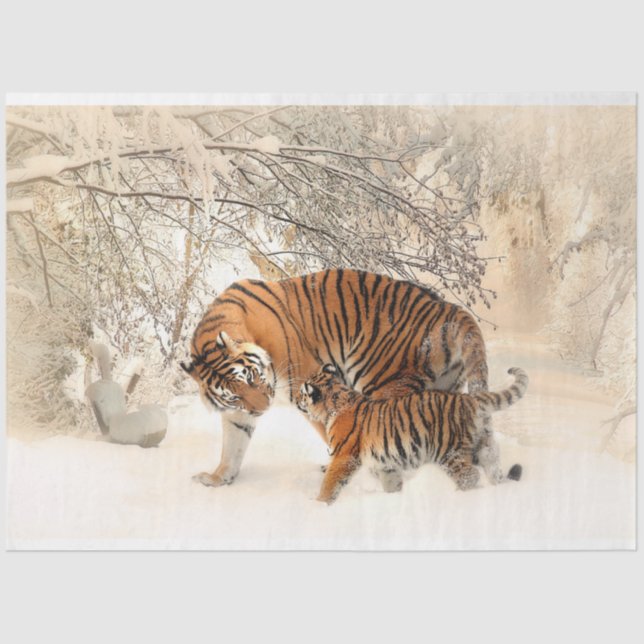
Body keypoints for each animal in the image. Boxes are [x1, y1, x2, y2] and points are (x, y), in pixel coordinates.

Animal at [181, 269, 489, 488]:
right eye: (234, 395)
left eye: (252, 377)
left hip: (384, 383)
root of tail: (449, 308)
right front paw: (218, 478)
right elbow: (232, 444)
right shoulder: (238, 412)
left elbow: (333, 433)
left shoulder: (309, 385)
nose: (263, 409)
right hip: (443, 390)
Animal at [296, 364, 527, 504]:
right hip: (484, 446)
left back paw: (456, 497)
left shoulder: (344, 457)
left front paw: (319, 504)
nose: (297, 400)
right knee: (493, 469)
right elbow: (391, 482)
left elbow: (330, 482)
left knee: (470, 476)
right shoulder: (385, 463)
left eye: (302, 393)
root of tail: (469, 399)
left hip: (449, 452)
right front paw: (394, 498)